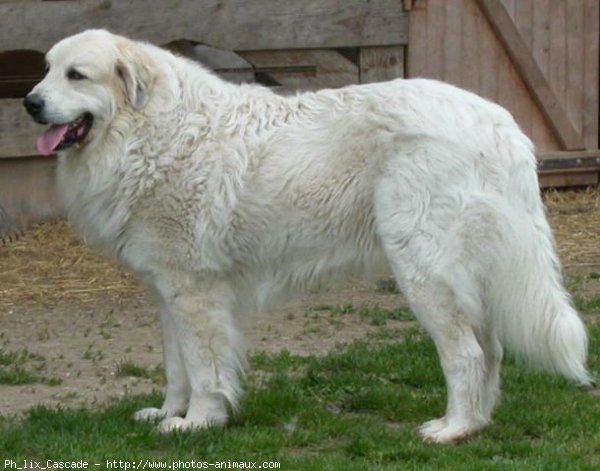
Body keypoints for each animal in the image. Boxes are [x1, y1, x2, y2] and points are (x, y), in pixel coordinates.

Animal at [23, 29, 592, 442]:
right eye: (46, 70)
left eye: (77, 75)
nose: (29, 103)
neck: (146, 130)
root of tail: (499, 121)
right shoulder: (168, 291)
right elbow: (175, 367)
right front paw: (168, 415)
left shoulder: (195, 293)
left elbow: (204, 368)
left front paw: (198, 423)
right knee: (490, 349)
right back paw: (477, 423)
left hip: (424, 270)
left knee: (466, 353)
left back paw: (451, 431)